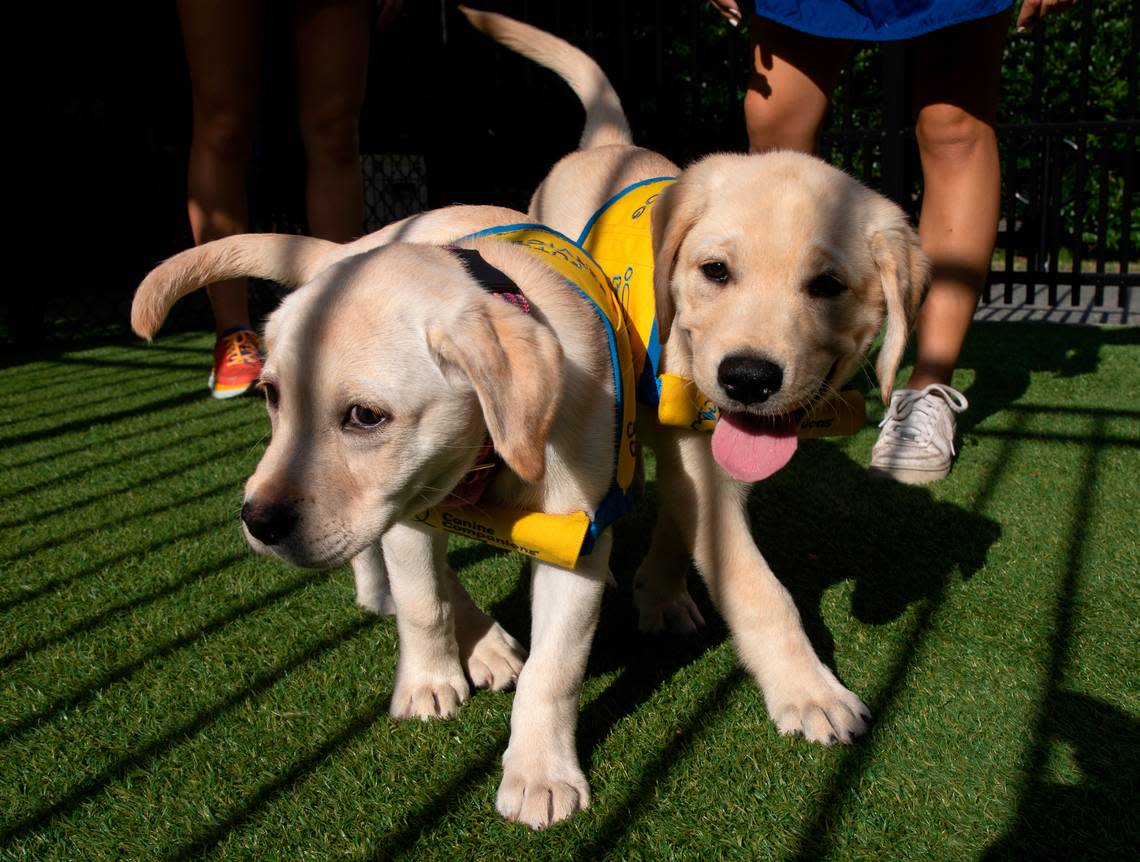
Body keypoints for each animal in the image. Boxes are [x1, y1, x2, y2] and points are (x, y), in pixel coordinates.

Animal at [134, 205, 638, 830]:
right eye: (272, 395)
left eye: (365, 416)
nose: (257, 521)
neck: (484, 457)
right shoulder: (405, 507)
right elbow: (423, 605)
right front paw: (428, 683)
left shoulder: (574, 538)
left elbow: (556, 667)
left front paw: (540, 773)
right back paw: (441, 624)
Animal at [460, 10, 925, 743]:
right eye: (715, 271)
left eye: (827, 286)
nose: (747, 379)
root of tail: (610, 145)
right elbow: (760, 588)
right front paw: (810, 692)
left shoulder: (706, 447)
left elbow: (686, 515)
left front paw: (661, 589)